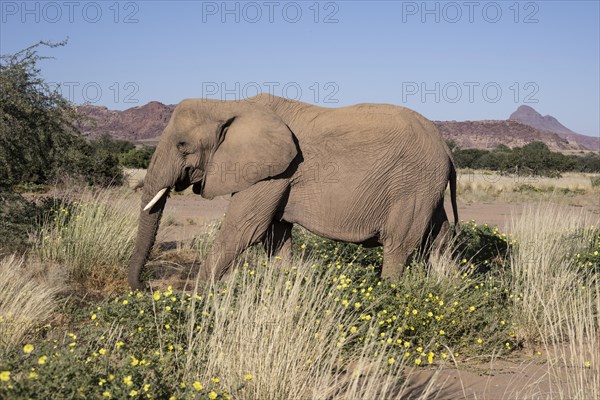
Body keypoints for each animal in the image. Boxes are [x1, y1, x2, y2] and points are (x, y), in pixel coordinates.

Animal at [125, 94, 454, 288]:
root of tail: (447, 151)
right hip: (428, 189)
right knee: (438, 240)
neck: (229, 103)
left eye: (182, 145)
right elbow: (275, 236)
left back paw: (389, 293)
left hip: (412, 185)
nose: (144, 287)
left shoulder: (276, 172)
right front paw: (281, 284)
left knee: (399, 245)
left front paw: (198, 298)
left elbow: (244, 229)